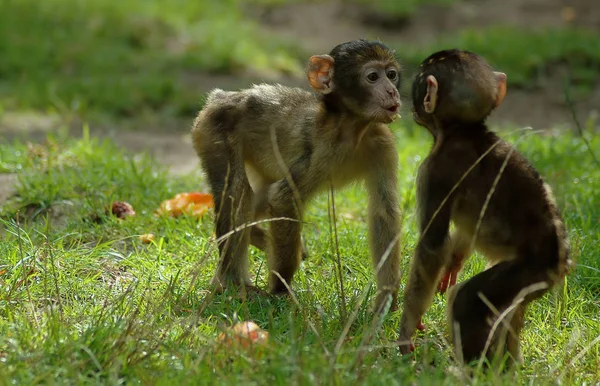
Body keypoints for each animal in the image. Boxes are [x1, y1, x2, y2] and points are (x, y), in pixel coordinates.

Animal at [192, 38, 404, 310]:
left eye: (392, 74)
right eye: (373, 77)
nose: (392, 92)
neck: (351, 128)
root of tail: (220, 97)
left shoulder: (382, 143)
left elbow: (384, 212)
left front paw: (386, 299)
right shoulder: (321, 149)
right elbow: (284, 198)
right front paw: (280, 289)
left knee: (258, 198)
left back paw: (257, 237)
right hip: (212, 130)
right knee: (237, 191)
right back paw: (233, 283)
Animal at [398, 49, 572, 364]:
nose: (412, 101)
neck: (465, 131)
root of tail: (561, 262)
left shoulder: (433, 171)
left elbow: (433, 243)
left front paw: (408, 325)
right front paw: (454, 262)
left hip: (529, 270)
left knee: (467, 301)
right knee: (508, 312)